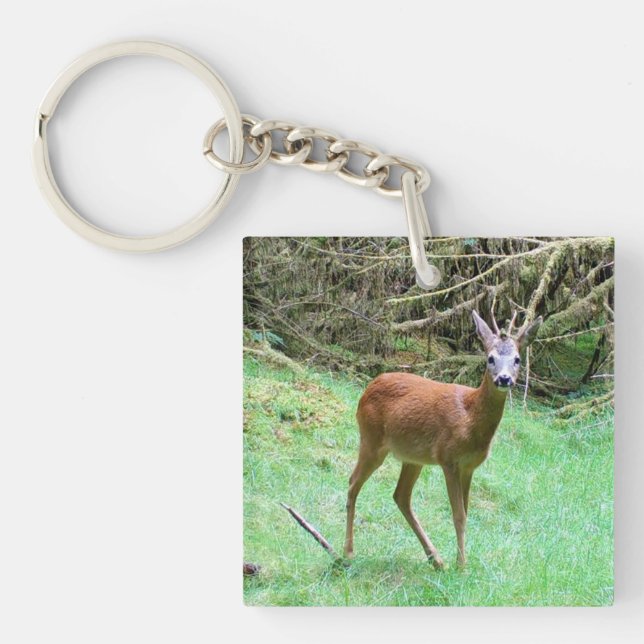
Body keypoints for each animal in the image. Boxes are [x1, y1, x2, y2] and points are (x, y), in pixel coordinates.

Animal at [344, 308, 542, 569]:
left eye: (517, 359)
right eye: (490, 358)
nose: (504, 379)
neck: (470, 420)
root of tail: (368, 388)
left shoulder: (469, 467)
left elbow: (466, 512)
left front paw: (459, 562)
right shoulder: (449, 459)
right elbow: (458, 515)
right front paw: (462, 566)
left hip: (412, 457)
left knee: (401, 495)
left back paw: (436, 559)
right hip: (371, 440)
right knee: (353, 483)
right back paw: (348, 552)